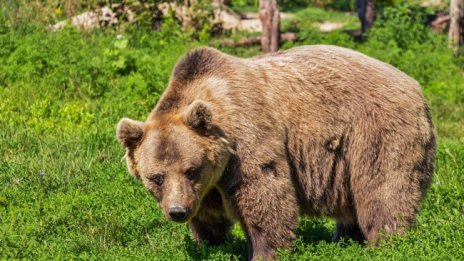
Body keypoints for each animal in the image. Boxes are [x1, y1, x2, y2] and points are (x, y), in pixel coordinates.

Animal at [116, 45, 436, 258]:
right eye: (156, 177)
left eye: (191, 169)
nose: (177, 211)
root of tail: (415, 86)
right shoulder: (207, 186)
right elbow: (208, 216)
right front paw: (208, 242)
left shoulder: (247, 139)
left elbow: (265, 194)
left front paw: (264, 251)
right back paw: (346, 239)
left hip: (376, 132)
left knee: (383, 191)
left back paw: (387, 242)